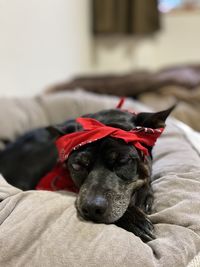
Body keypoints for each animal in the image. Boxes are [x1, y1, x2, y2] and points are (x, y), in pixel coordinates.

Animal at [0, 107, 173, 243]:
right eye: (77, 165)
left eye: (122, 161)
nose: (92, 208)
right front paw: (133, 219)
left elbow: (146, 174)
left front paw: (144, 195)